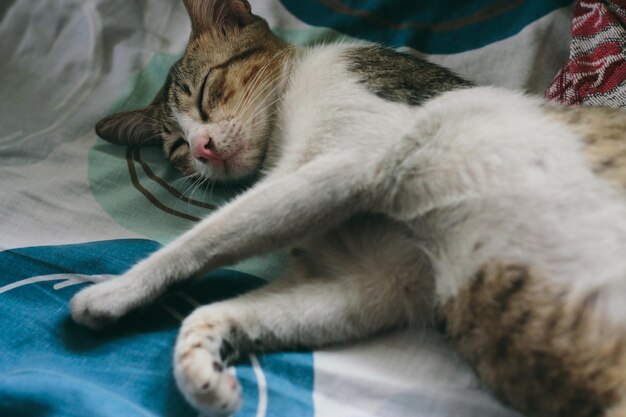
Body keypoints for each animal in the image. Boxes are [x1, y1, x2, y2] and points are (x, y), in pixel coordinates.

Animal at [68, 0, 624, 416]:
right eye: (177, 148)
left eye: (206, 92)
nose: (201, 148)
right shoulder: (381, 280)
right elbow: (218, 312)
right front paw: (199, 371)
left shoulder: (347, 163)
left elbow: (206, 236)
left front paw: (112, 291)